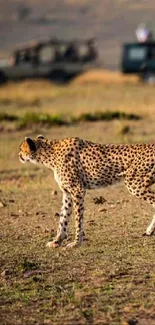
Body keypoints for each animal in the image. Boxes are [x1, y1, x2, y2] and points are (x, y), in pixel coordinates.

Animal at [18, 135, 155, 247]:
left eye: (21, 148)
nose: (19, 155)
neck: (50, 154)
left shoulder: (77, 190)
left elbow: (78, 218)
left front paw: (76, 242)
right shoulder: (67, 192)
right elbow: (63, 217)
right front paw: (57, 241)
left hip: (134, 184)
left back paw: (150, 230)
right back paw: (150, 230)